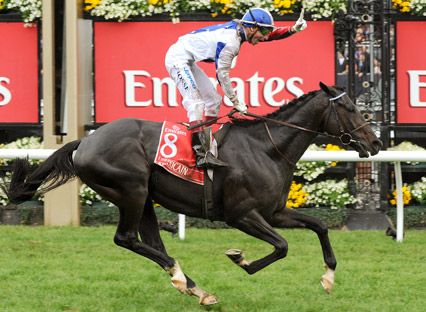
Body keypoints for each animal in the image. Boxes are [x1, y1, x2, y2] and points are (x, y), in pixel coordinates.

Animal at [5, 83, 382, 304]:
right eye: (350, 108)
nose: (376, 143)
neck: (266, 148)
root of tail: (84, 142)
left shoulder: (274, 212)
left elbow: (319, 226)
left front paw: (329, 278)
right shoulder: (241, 215)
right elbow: (282, 246)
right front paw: (241, 259)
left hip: (144, 197)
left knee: (151, 241)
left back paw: (193, 286)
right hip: (131, 189)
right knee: (126, 238)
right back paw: (178, 274)